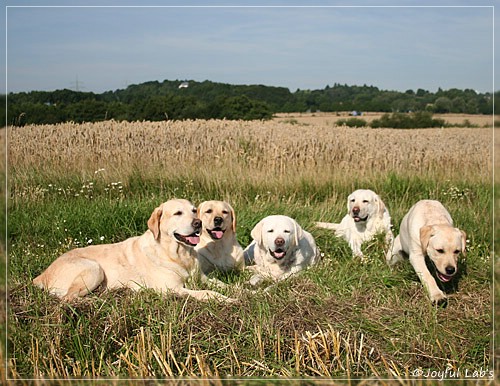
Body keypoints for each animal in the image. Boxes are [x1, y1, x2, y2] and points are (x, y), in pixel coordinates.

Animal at [33, 199, 232, 302]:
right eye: (177, 213)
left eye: (194, 211)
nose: (198, 223)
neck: (178, 255)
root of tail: (41, 275)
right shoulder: (170, 289)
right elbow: (207, 292)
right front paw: (227, 299)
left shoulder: (202, 277)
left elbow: (223, 284)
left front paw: (239, 291)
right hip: (93, 268)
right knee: (68, 298)